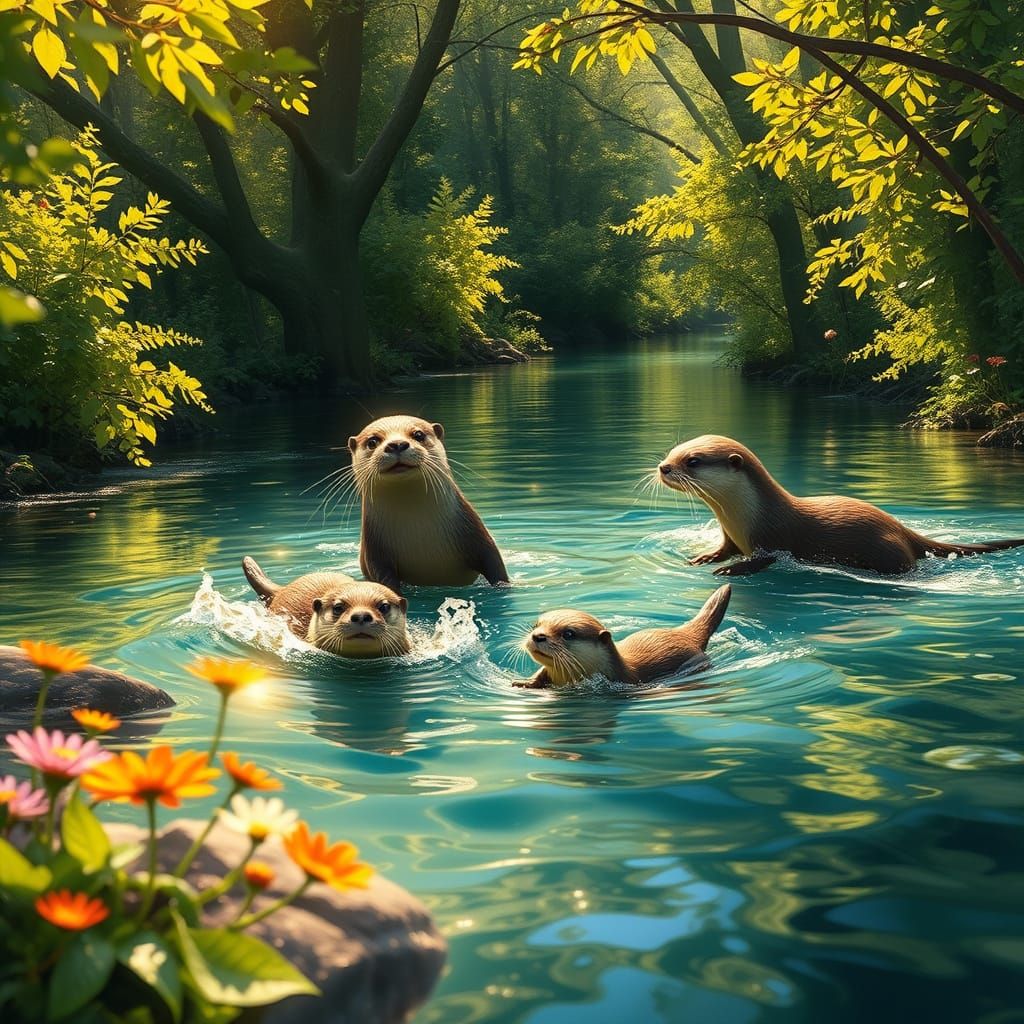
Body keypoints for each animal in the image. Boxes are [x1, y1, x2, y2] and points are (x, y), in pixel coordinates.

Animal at [348, 415, 508, 592]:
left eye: (418, 435)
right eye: (372, 441)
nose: (397, 444)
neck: (418, 527)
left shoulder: (476, 533)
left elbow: (494, 562)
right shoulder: (374, 552)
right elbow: (383, 577)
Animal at [658, 434, 1024, 576]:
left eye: (692, 461)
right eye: (672, 451)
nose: (663, 467)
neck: (741, 516)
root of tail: (901, 528)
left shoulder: (773, 538)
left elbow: (765, 560)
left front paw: (733, 570)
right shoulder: (731, 536)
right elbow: (725, 549)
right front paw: (706, 557)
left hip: (888, 549)